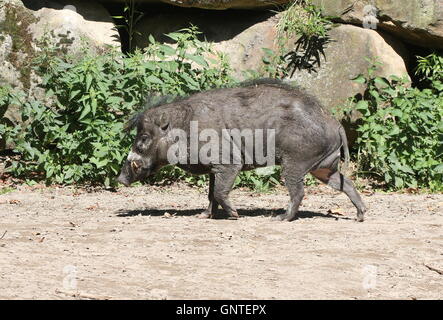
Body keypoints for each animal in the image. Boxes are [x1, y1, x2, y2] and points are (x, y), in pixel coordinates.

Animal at [115, 79, 368, 221]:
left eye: (144, 138)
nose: (120, 179)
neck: (184, 129)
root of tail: (335, 123)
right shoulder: (214, 169)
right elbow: (211, 194)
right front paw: (203, 216)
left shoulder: (229, 163)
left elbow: (219, 192)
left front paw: (235, 215)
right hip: (323, 167)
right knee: (345, 183)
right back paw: (360, 216)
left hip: (295, 164)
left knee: (299, 192)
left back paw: (280, 218)